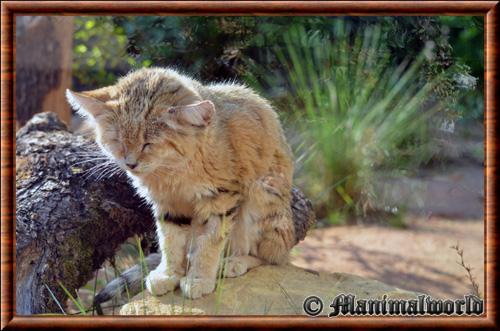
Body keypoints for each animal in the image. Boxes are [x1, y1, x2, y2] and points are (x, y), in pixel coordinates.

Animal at [68, 67, 298, 300]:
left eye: (148, 144)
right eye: (118, 142)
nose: (130, 163)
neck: (172, 171)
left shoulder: (221, 199)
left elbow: (208, 243)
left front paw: (199, 278)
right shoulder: (169, 205)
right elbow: (170, 241)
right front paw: (169, 274)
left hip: (262, 194)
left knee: (271, 256)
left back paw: (234, 262)